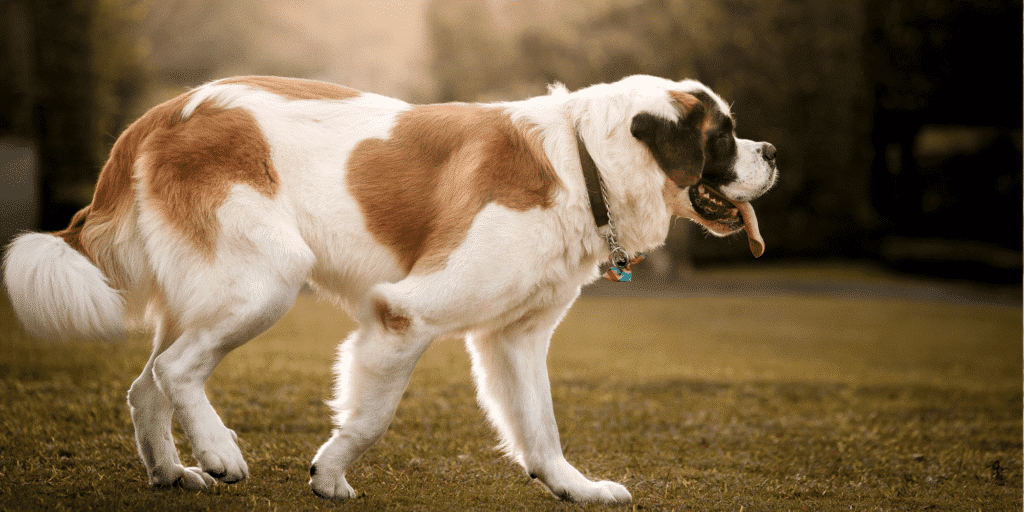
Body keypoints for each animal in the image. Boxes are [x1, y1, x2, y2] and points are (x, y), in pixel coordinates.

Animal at [2, 75, 774, 503]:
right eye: (723, 136)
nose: (770, 151)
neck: (581, 160)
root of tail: (166, 111)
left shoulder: (514, 339)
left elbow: (540, 426)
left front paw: (572, 487)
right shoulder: (405, 314)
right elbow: (372, 416)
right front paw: (330, 474)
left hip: (208, 292)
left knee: (147, 384)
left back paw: (171, 472)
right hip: (267, 279)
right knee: (177, 368)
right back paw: (219, 454)